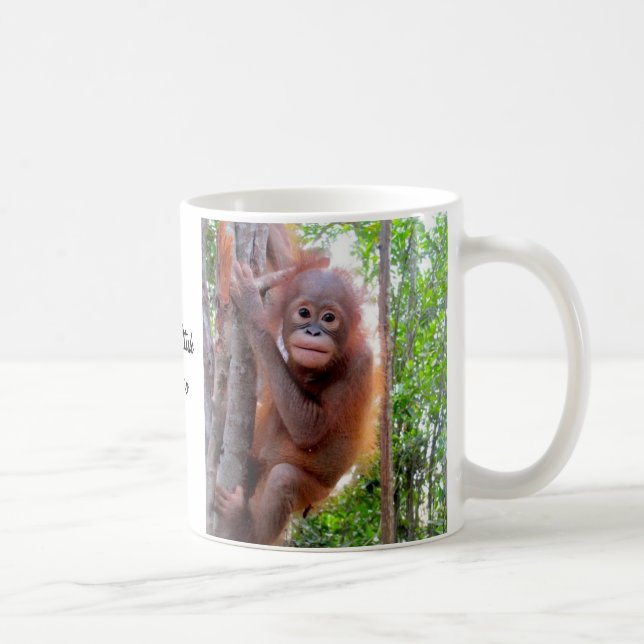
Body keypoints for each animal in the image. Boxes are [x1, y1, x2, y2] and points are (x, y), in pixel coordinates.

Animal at [215, 261, 374, 545]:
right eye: (303, 313)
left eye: (329, 318)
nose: (313, 331)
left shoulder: (359, 364)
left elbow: (308, 427)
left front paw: (252, 305)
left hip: (314, 492)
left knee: (283, 479)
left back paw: (244, 526)